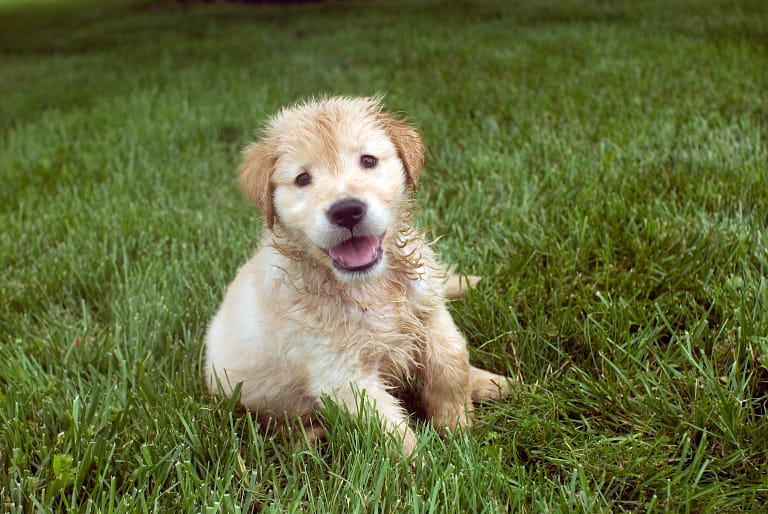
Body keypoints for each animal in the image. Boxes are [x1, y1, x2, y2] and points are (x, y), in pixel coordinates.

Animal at [204, 96, 510, 452]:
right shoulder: (341, 373)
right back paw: (310, 436)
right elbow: (389, 428)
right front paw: (425, 461)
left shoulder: (430, 314)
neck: (368, 286)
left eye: (368, 160)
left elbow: (451, 363)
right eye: (302, 179)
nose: (347, 210)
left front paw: (457, 425)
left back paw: (492, 381)